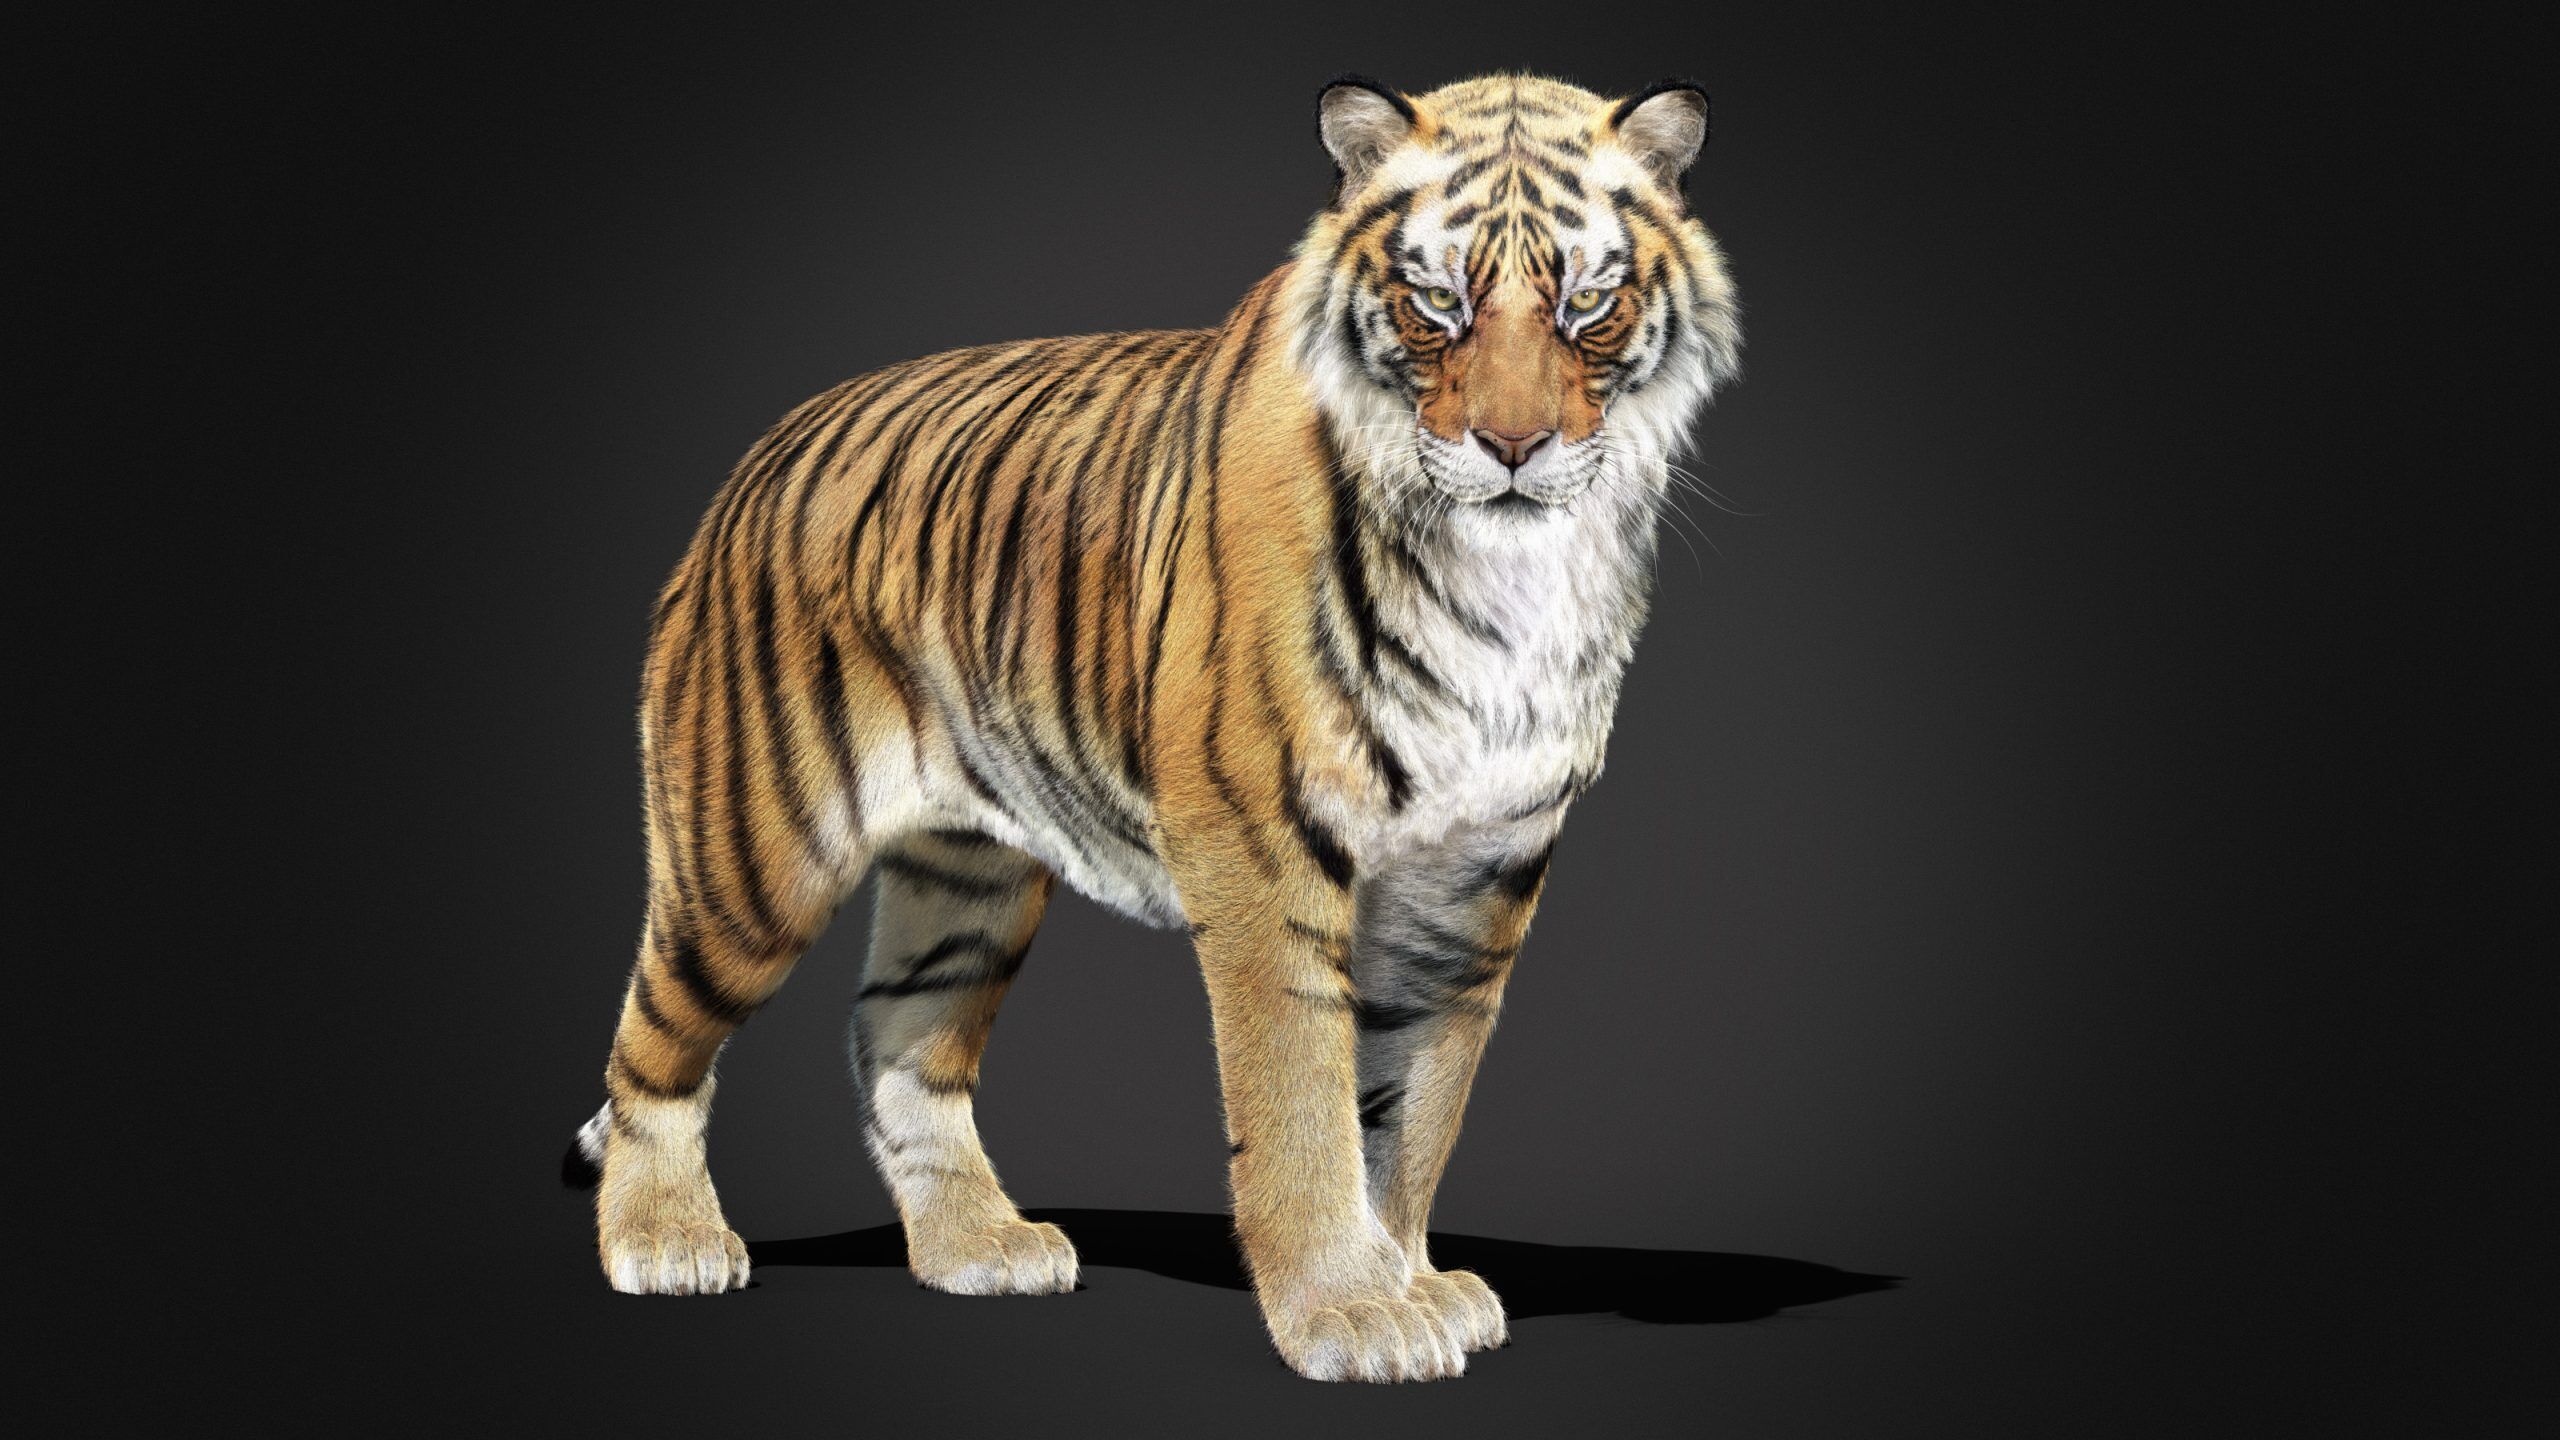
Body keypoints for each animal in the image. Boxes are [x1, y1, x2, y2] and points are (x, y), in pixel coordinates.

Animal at [563, 71, 1741, 1382]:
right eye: (1439, 300)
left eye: (1587, 301)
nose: (1515, 449)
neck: (1514, 572)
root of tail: (759, 460)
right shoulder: (1266, 844)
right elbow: (1303, 1101)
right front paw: (1346, 1309)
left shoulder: (1476, 873)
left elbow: (1411, 1108)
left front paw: (1411, 1281)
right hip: (755, 859)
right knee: (653, 1044)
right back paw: (663, 1241)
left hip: (968, 879)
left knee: (898, 1042)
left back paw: (979, 1247)